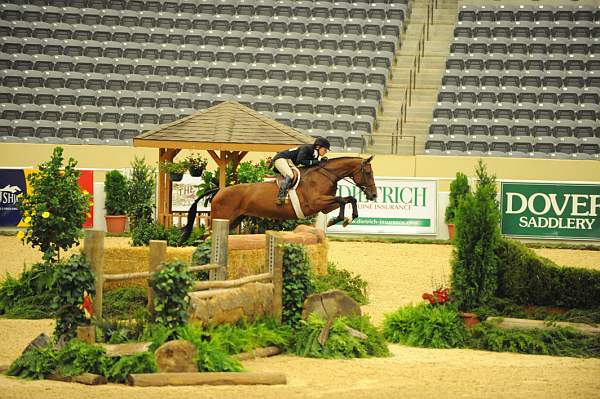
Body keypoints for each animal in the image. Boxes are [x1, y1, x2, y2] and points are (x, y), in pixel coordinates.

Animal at [183, 156, 378, 236]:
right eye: (368, 173)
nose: (374, 195)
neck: (325, 175)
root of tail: (220, 190)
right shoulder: (315, 203)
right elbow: (343, 199)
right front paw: (339, 219)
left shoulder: (324, 205)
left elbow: (348, 199)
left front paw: (344, 219)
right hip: (222, 217)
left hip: (234, 220)